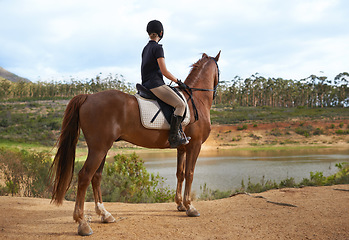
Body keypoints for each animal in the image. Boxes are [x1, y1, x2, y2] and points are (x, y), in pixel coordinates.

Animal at [49, 49, 220, 235]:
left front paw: (180, 204)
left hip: (103, 148)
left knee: (96, 177)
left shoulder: (182, 147)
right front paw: (190, 207)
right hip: (98, 148)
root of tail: (88, 96)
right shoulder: (195, 145)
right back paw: (82, 223)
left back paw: (105, 214)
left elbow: (180, 174)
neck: (196, 99)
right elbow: (189, 173)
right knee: (85, 176)